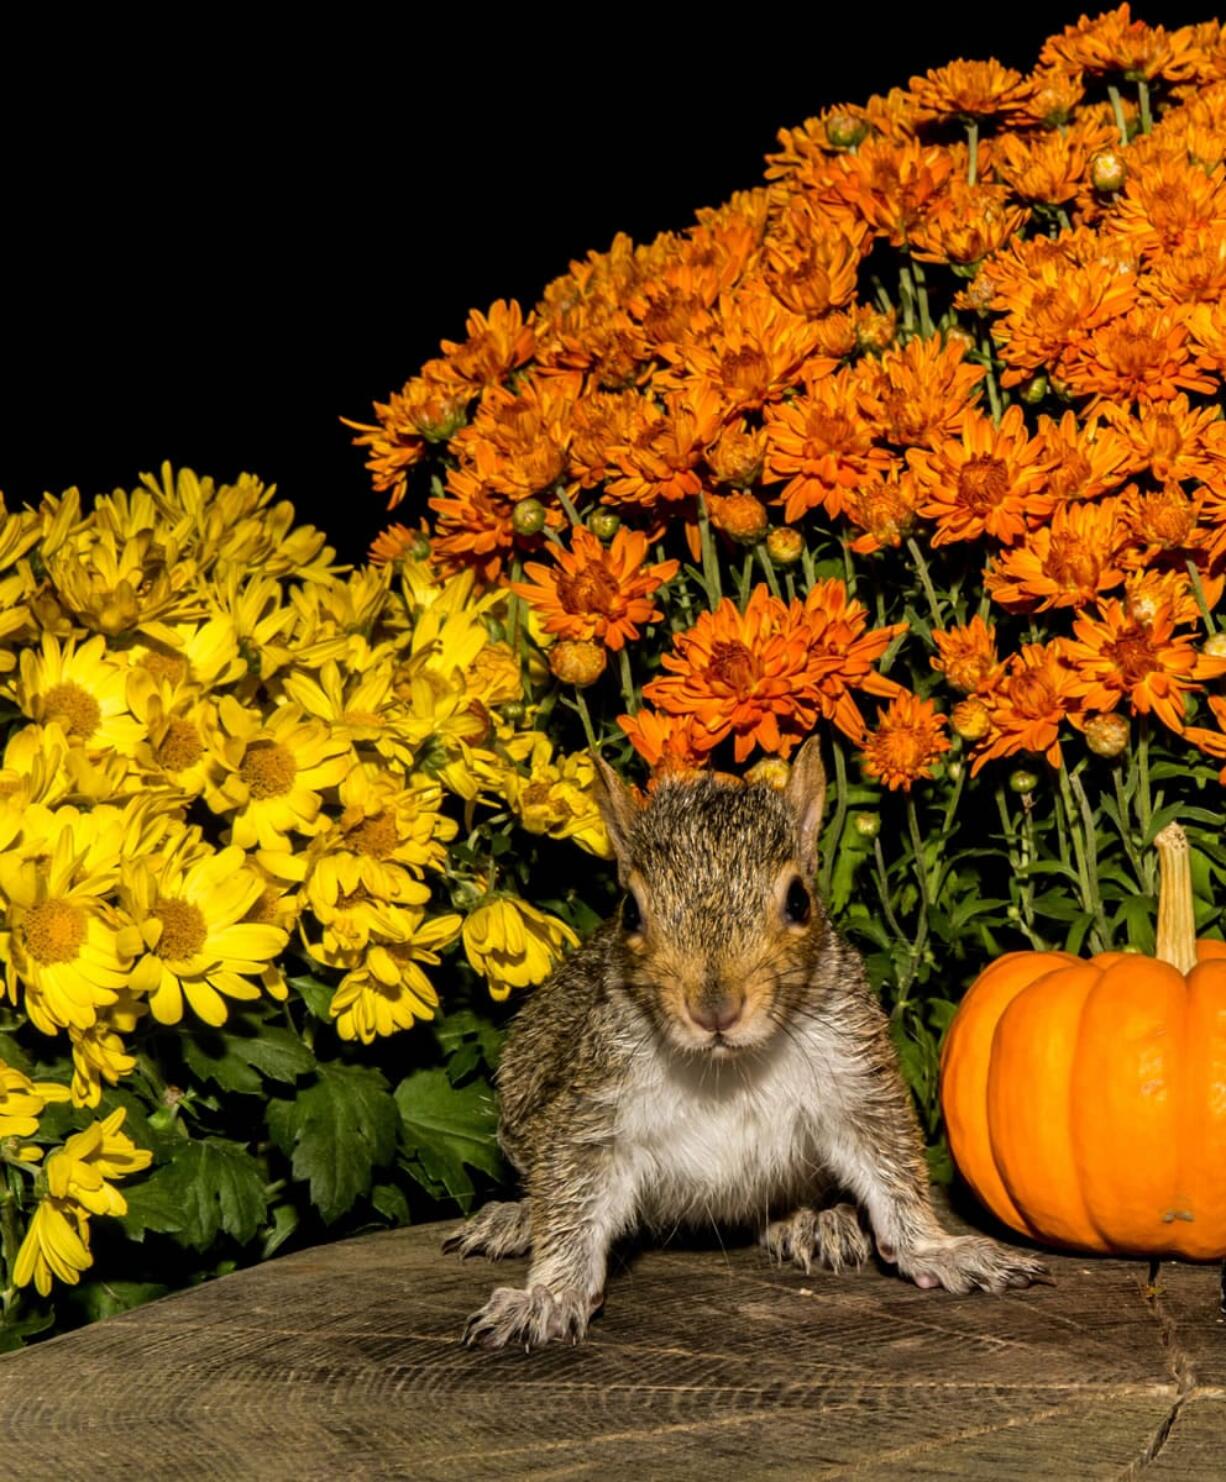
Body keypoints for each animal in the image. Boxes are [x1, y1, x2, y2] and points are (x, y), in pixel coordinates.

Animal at [444, 735, 1049, 1351]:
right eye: (630, 911)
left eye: (799, 900)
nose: (715, 1007)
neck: (726, 1067)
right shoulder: (593, 1104)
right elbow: (572, 1194)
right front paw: (548, 1294)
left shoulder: (854, 1075)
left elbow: (890, 1169)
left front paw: (940, 1250)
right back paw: (517, 1217)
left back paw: (816, 1220)